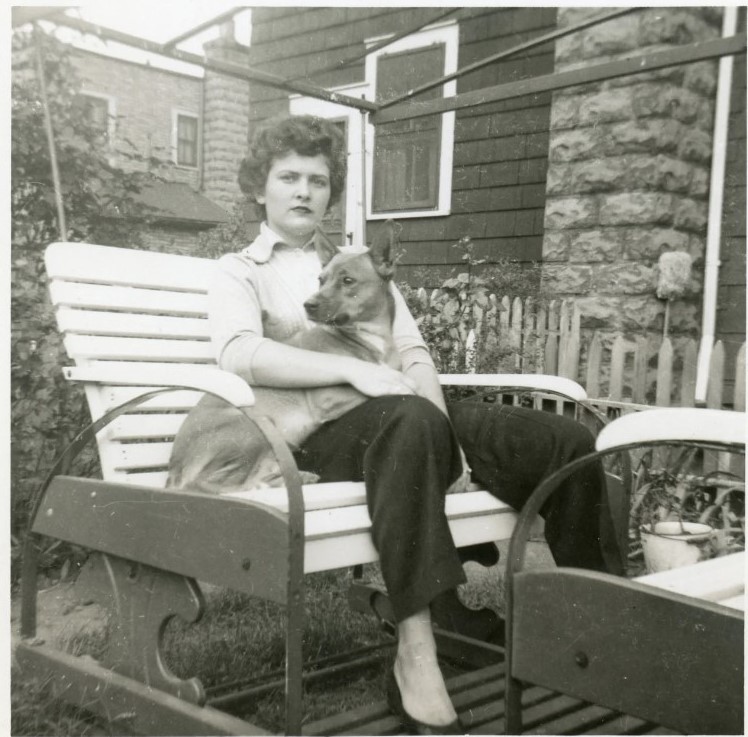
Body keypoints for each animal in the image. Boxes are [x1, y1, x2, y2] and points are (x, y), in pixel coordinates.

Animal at [166, 221, 404, 492]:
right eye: (321, 280)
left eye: (347, 280)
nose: (308, 305)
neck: (369, 336)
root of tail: (173, 470)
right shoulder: (329, 398)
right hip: (252, 428)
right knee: (213, 484)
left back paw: (300, 477)